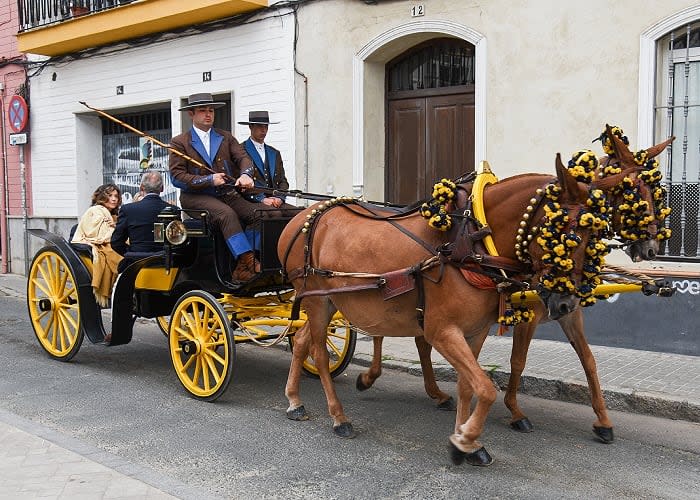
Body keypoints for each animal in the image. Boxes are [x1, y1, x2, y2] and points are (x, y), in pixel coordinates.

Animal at [278, 159, 608, 464]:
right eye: (565, 235)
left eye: (593, 236)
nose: (566, 304)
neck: (471, 241)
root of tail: (304, 217)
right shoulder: (443, 331)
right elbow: (485, 388)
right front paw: (464, 439)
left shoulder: (475, 331)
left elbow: (468, 386)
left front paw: (468, 440)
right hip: (317, 299)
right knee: (319, 353)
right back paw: (338, 417)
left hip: (328, 301)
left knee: (303, 340)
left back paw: (295, 400)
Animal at [358, 129, 676, 446]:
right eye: (634, 191)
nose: (651, 247)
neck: (481, 233)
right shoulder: (529, 312)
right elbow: (518, 361)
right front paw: (515, 412)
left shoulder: (568, 310)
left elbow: (588, 359)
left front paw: (603, 420)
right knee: (380, 331)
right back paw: (371, 376)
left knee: (416, 339)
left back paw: (435, 393)